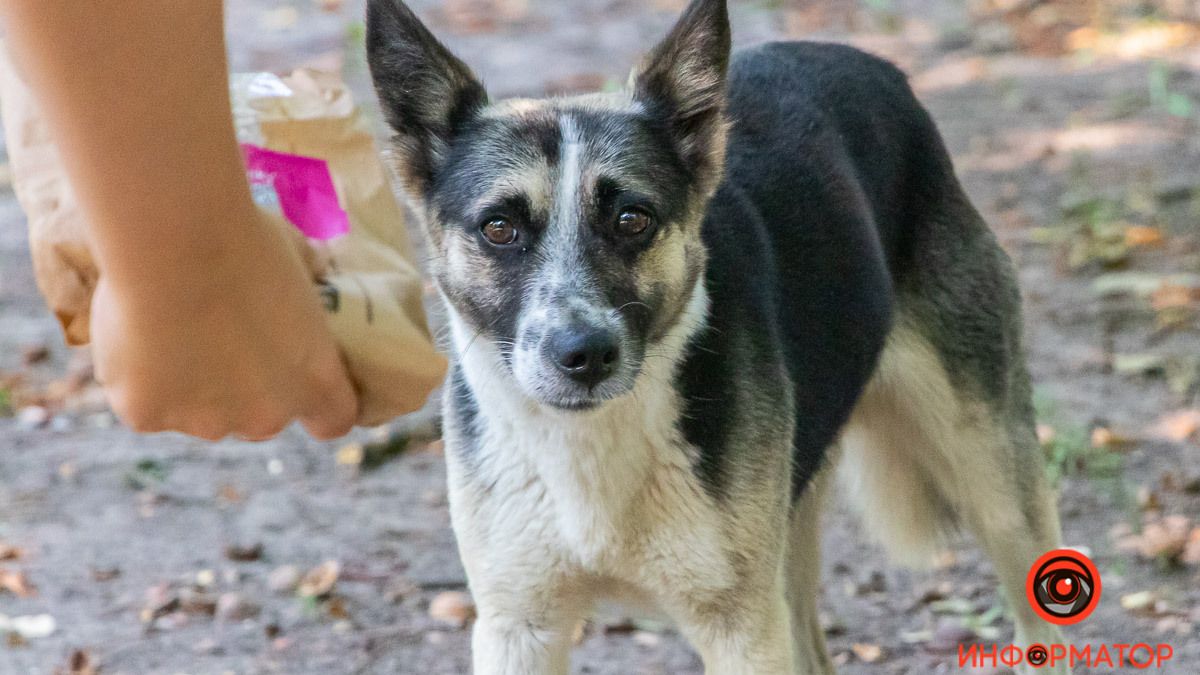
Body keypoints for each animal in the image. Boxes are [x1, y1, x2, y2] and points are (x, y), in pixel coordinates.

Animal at [364, 1, 1070, 667]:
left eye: (632, 219)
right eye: (499, 228)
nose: (583, 355)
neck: (591, 444)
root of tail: (871, 62)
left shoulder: (741, 630)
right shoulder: (517, 627)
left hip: (995, 484)